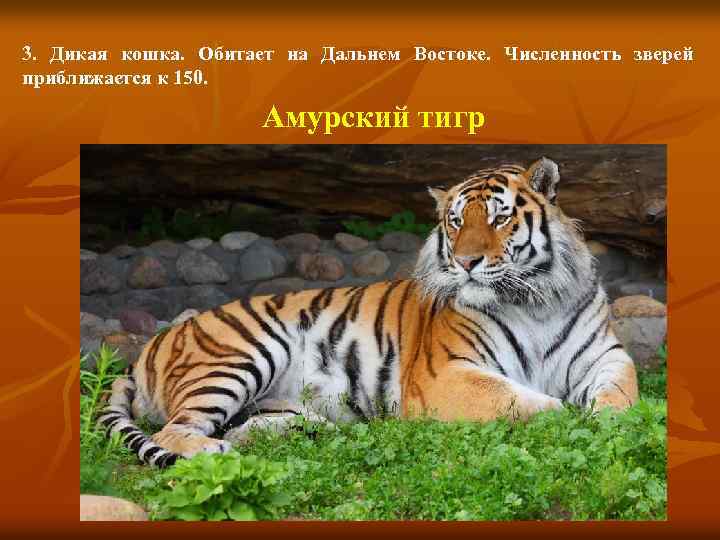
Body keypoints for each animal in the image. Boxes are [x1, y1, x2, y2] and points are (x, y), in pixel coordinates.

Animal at [98, 157, 638, 468]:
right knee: (174, 430)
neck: (533, 300)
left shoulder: (606, 357)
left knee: (247, 426)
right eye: (456, 221)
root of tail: (147, 346)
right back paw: (215, 451)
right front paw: (568, 416)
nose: (466, 261)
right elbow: (529, 403)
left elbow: (622, 397)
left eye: (500, 217)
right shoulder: (447, 374)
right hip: (241, 354)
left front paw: (610, 420)